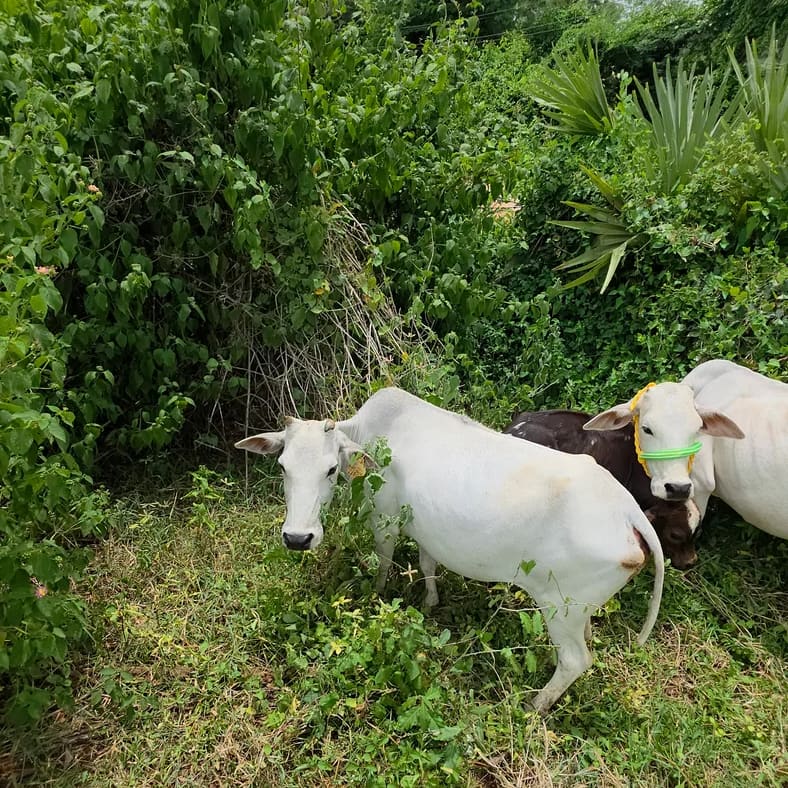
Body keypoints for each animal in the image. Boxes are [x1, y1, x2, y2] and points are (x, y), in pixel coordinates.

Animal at [236, 387, 665, 712]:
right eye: (283, 466)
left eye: (330, 469)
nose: (297, 537)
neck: (371, 432)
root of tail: (627, 508)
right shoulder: (426, 533)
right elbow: (427, 565)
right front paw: (429, 602)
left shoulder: (384, 519)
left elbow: (384, 565)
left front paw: (377, 595)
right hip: (579, 607)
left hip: (559, 606)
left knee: (575, 660)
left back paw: (533, 707)